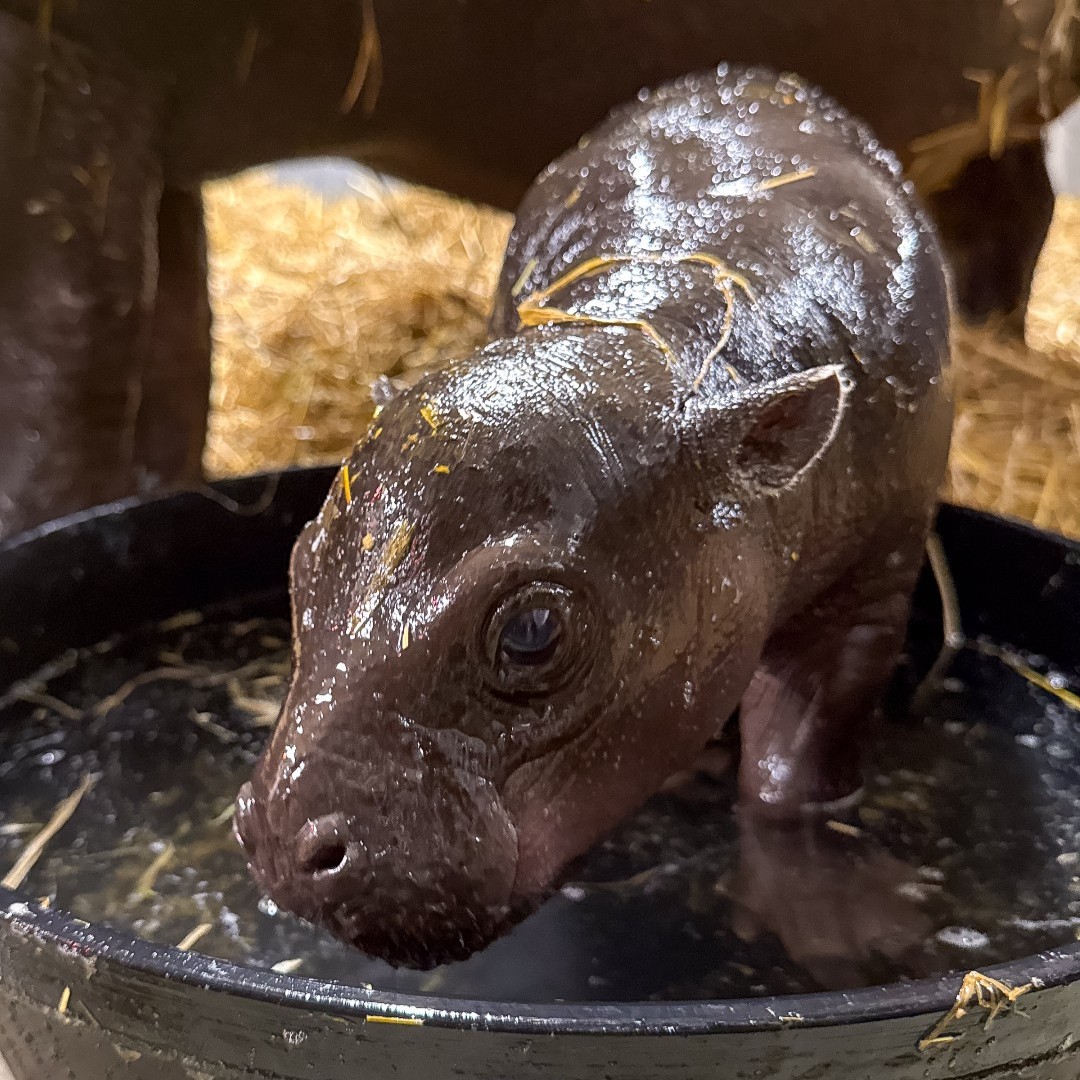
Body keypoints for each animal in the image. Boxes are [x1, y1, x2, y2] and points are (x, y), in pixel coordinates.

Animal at [233, 65, 953, 969]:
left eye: (533, 630)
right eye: (301, 568)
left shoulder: (870, 582)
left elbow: (799, 766)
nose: (276, 837)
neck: (665, 328)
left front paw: (848, 932)